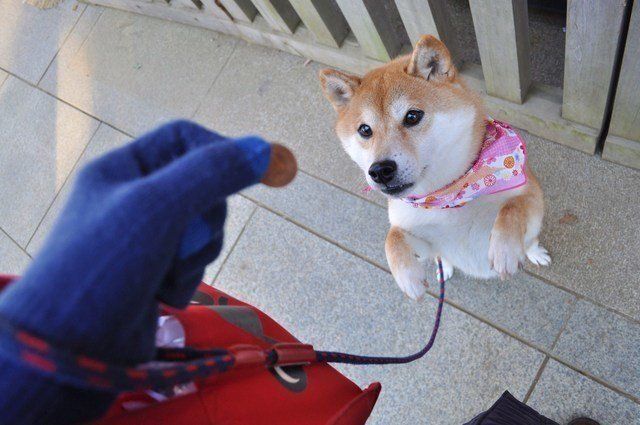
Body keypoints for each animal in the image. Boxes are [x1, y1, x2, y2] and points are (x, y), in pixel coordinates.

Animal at [319, 35, 550, 300]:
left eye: (412, 116)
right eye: (365, 130)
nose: (379, 170)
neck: (449, 195)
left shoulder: (531, 195)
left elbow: (512, 208)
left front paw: (505, 251)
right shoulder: (423, 237)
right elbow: (393, 236)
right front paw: (406, 276)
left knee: (530, 240)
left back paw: (534, 252)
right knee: (439, 256)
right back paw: (444, 268)